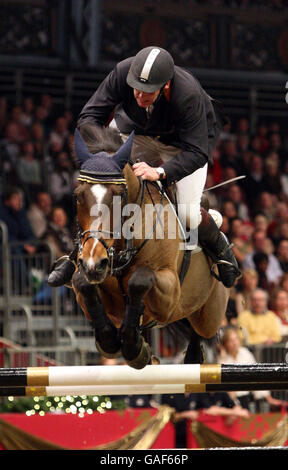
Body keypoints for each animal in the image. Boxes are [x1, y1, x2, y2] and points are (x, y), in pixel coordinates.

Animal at [71, 126, 230, 370]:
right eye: (78, 196)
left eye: (118, 196)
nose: (93, 263)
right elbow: (82, 283)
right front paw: (114, 340)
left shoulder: (170, 293)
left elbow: (140, 278)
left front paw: (133, 347)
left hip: (210, 313)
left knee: (201, 329)